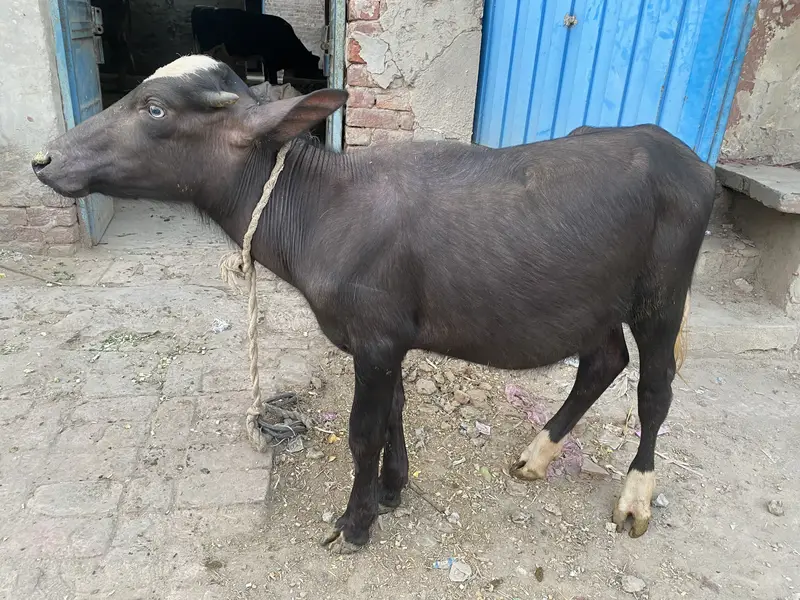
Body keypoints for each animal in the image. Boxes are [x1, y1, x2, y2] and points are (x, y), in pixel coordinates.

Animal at [32, 55, 716, 554]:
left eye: (154, 108)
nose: (44, 158)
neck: (321, 211)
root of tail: (688, 160)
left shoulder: (377, 338)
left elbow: (363, 432)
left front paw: (356, 521)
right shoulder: (389, 340)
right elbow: (394, 414)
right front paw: (393, 488)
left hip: (661, 295)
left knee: (655, 388)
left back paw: (635, 497)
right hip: (593, 300)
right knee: (601, 363)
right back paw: (537, 454)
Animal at [191, 6, 324, 84]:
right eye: (312, 65)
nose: (317, 76)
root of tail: (199, 7)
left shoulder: (266, 59)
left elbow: (267, 76)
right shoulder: (271, 60)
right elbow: (272, 78)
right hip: (208, 47)